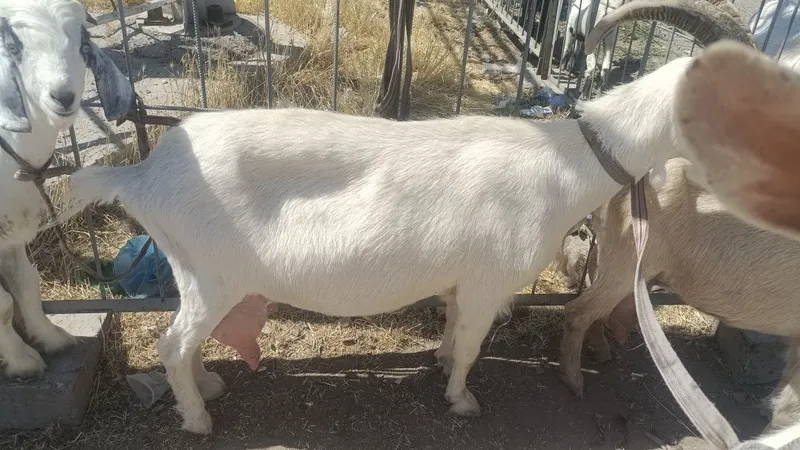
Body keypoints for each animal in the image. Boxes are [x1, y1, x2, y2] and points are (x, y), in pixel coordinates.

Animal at [0, 0, 134, 378]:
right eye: (13, 47)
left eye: (82, 45)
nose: (63, 96)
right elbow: (2, 304)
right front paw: (21, 362)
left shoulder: (10, 230)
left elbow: (26, 284)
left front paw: (51, 338)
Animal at [46, 0, 757, 435]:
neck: (566, 162)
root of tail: (141, 173)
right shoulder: (489, 281)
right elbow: (472, 343)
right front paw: (462, 401)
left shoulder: (461, 281)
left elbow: (452, 332)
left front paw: (439, 368)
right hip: (212, 271)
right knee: (171, 344)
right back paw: (198, 418)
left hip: (195, 273)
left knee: (185, 342)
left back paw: (208, 389)